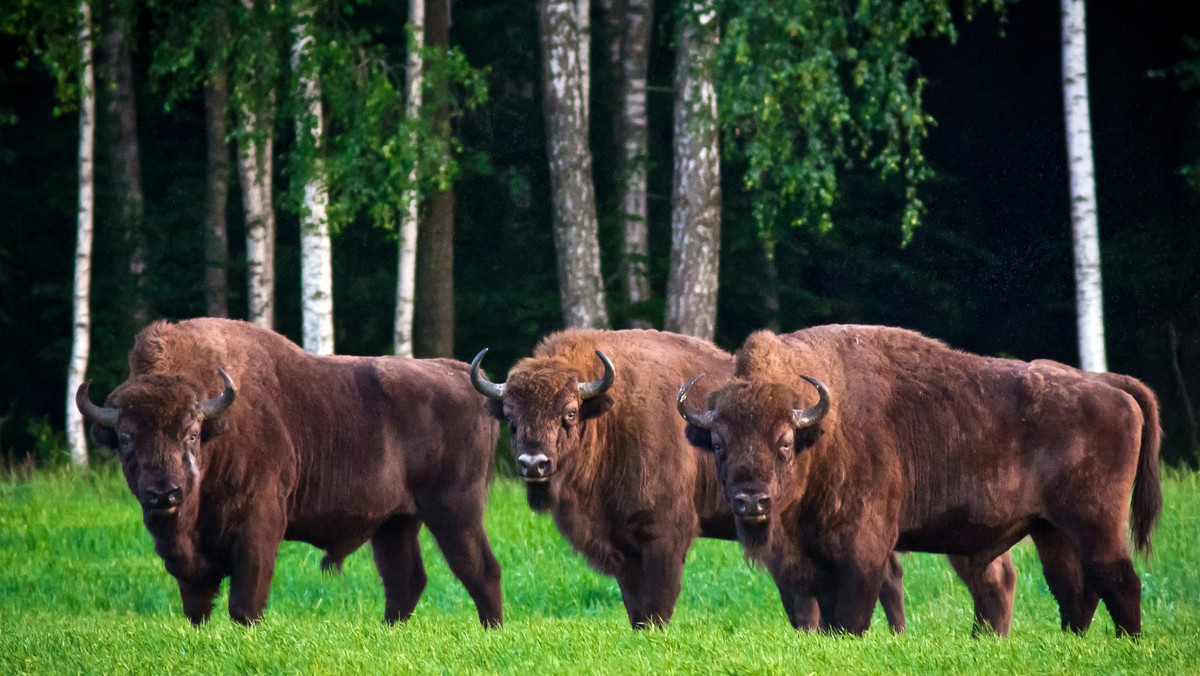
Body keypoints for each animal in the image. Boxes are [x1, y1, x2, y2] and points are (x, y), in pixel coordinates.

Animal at [73, 319, 506, 629]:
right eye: (126, 439)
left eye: (191, 433)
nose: (164, 493)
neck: (220, 427)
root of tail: (464, 377)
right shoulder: (186, 555)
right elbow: (196, 604)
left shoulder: (259, 527)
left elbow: (245, 602)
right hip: (396, 522)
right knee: (405, 580)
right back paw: (389, 631)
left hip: (455, 510)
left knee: (480, 569)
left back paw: (492, 630)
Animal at [681, 324, 1156, 638]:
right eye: (718, 444)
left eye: (783, 443)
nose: (751, 501)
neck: (822, 432)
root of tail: (1109, 385)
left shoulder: (863, 551)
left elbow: (850, 617)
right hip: (1050, 529)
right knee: (1074, 590)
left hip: (1096, 524)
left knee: (1119, 580)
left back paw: (1128, 644)